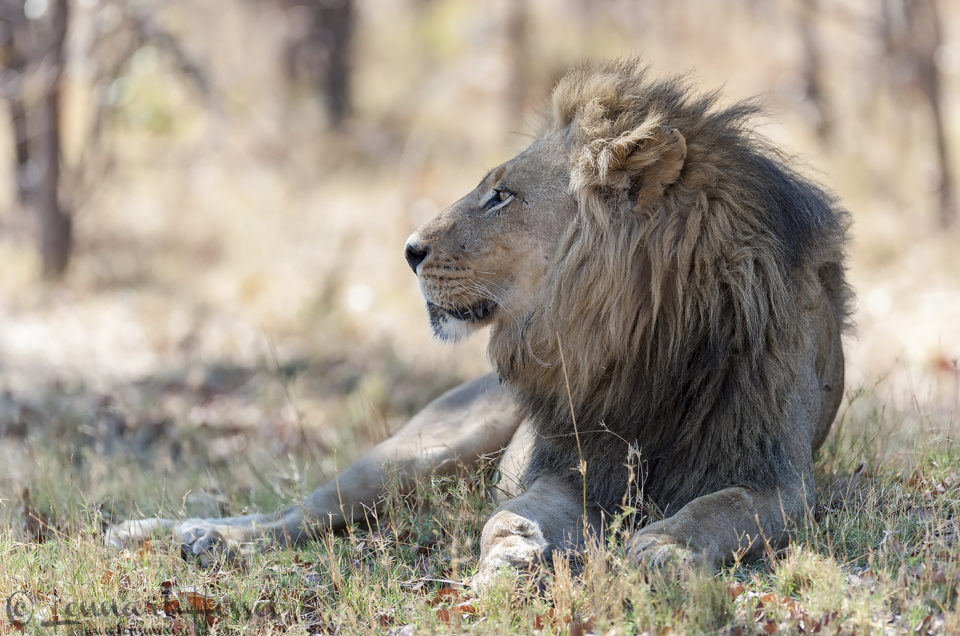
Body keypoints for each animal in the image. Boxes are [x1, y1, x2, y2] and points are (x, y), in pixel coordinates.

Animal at [107, 60, 852, 588]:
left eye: (501, 196)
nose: (409, 250)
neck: (646, 340)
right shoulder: (569, 465)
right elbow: (511, 512)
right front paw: (511, 556)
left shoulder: (779, 481)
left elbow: (714, 510)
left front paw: (662, 549)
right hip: (420, 452)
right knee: (299, 514)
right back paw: (192, 535)